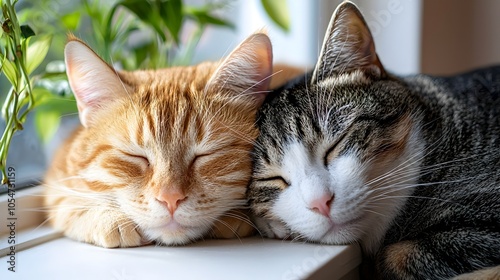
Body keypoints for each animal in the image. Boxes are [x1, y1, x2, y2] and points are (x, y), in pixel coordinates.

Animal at [45, 32, 292, 247]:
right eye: (136, 156)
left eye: (204, 155)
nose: (170, 199)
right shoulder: (56, 179)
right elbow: (64, 203)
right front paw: (106, 218)